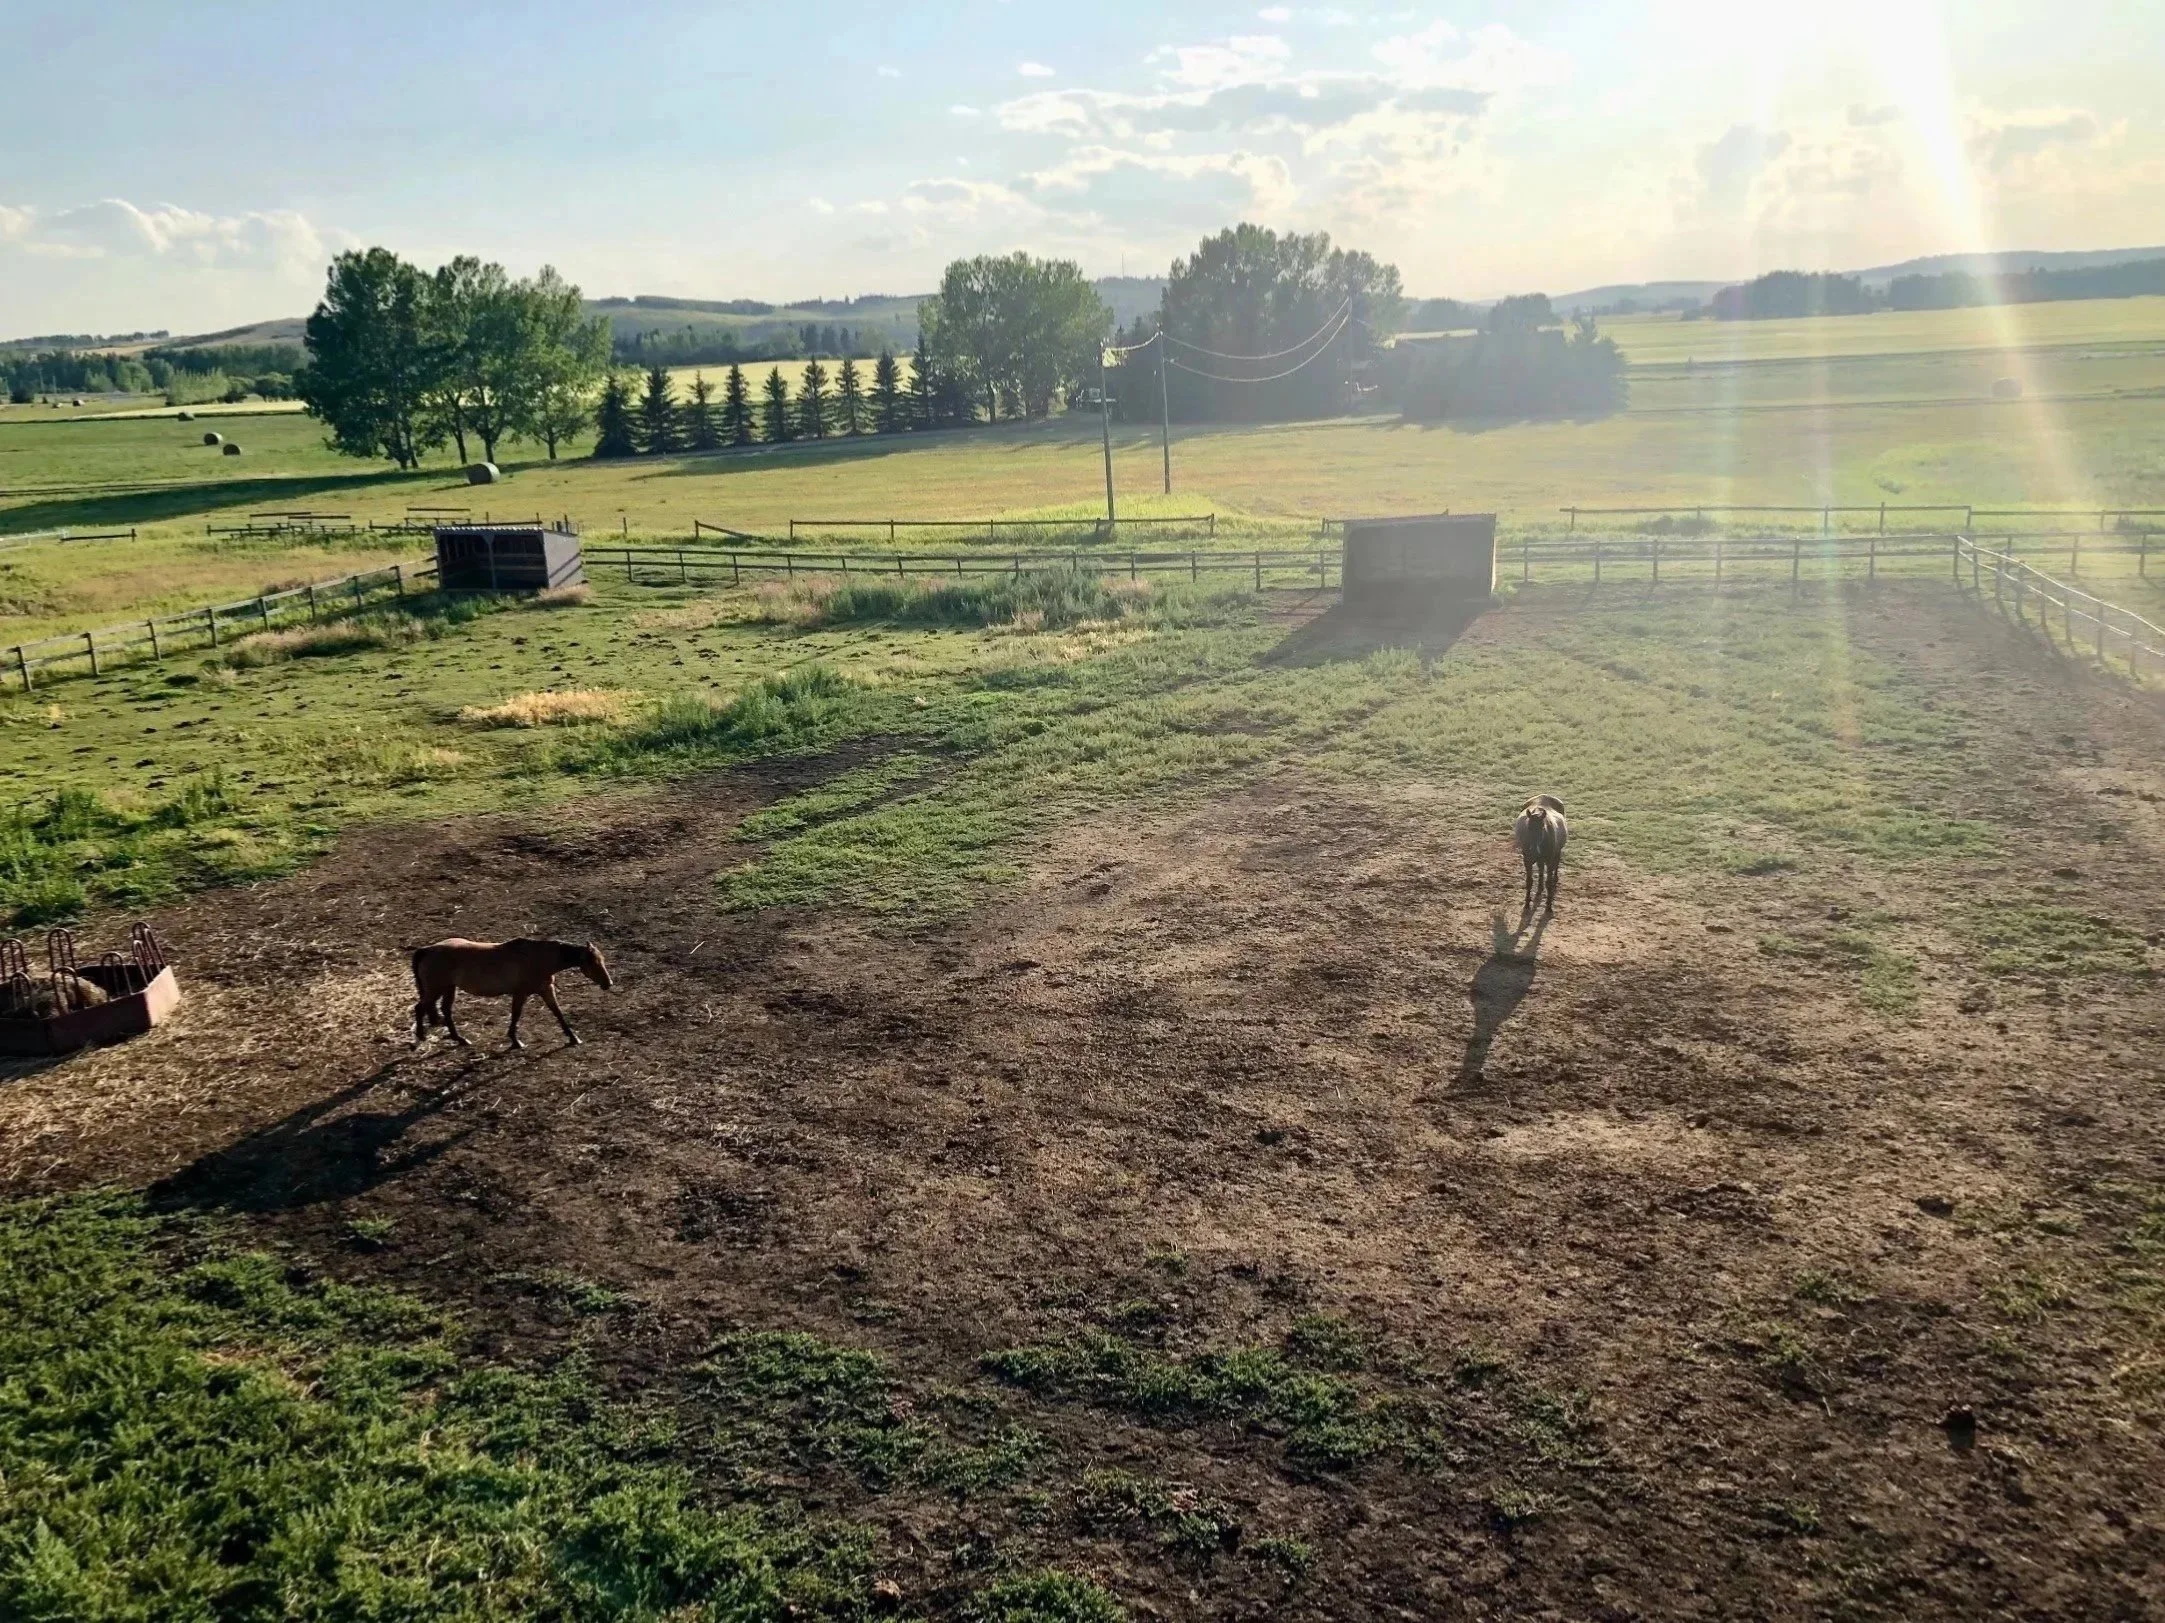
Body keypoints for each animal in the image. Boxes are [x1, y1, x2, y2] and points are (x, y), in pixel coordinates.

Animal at [411, 938, 611, 1050]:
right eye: (593, 963)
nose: (608, 984)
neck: (538, 958)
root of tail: (427, 950)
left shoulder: (546, 990)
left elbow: (558, 1013)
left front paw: (573, 1038)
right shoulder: (520, 993)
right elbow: (516, 1015)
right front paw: (515, 1041)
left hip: (448, 988)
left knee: (445, 1010)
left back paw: (460, 1039)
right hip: (435, 989)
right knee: (420, 1008)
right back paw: (421, 1036)